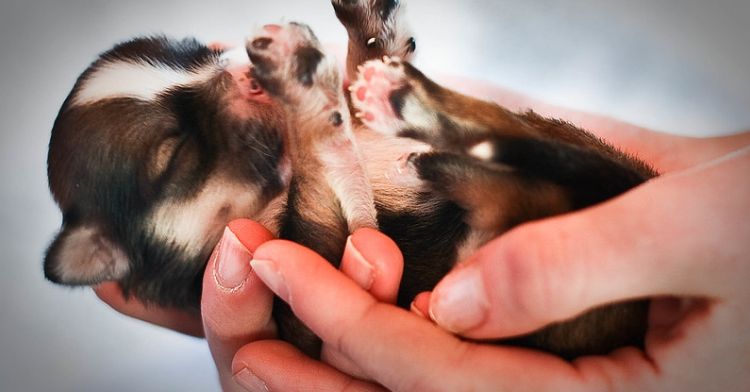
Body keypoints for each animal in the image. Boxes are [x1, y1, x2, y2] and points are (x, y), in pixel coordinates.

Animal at [45, 0, 656, 360]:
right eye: (176, 153)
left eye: (201, 54)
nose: (243, 72)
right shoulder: (328, 256)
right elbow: (327, 154)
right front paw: (303, 82)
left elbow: (357, 79)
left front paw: (362, 43)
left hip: (555, 138)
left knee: (500, 131)